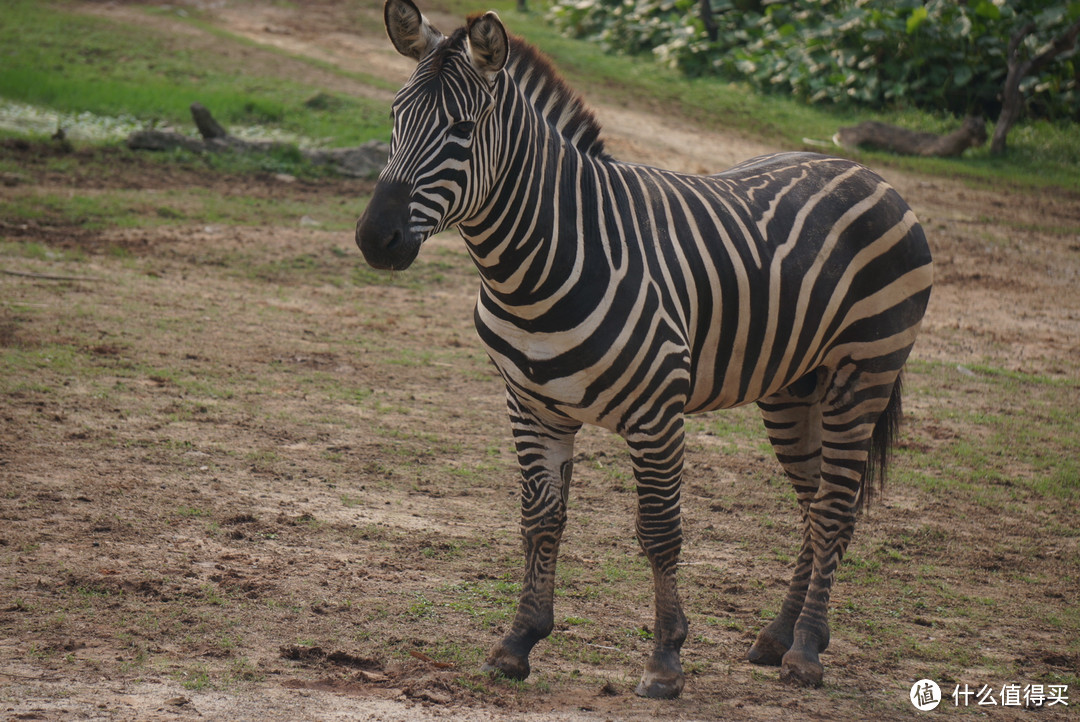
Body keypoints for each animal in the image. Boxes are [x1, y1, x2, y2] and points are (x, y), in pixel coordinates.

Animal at [358, 0, 933, 699]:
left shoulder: (656, 414)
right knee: (816, 504)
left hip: (862, 375)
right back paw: (778, 637)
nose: (375, 239)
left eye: (463, 129)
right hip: (793, 388)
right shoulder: (531, 406)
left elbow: (659, 532)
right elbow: (540, 520)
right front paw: (518, 643)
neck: (537, 264)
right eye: (394, 116)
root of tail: (867, 171)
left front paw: (664, 660)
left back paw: (806, 653)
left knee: (832, 511)